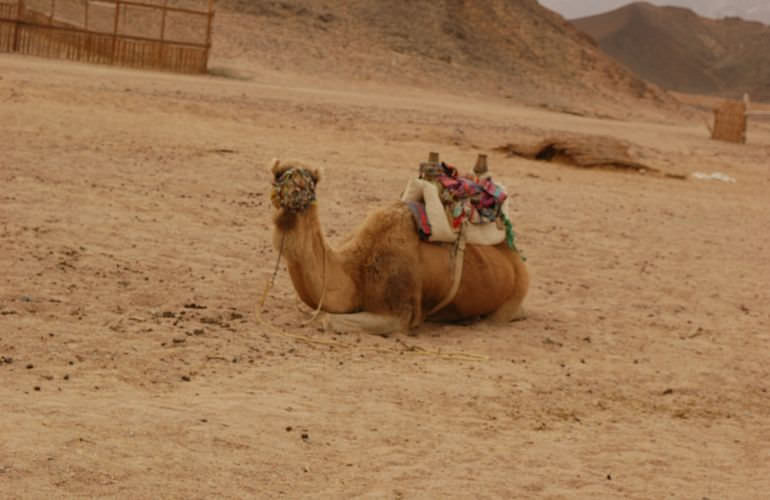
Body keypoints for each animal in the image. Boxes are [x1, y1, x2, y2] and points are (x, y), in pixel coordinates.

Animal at [268, 158, 524, 334]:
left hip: (512, 300)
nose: (295, 192)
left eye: (311, 180)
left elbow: (325, 318)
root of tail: (516, 259)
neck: (356, 270)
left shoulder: (399, 313)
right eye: (279, 175)